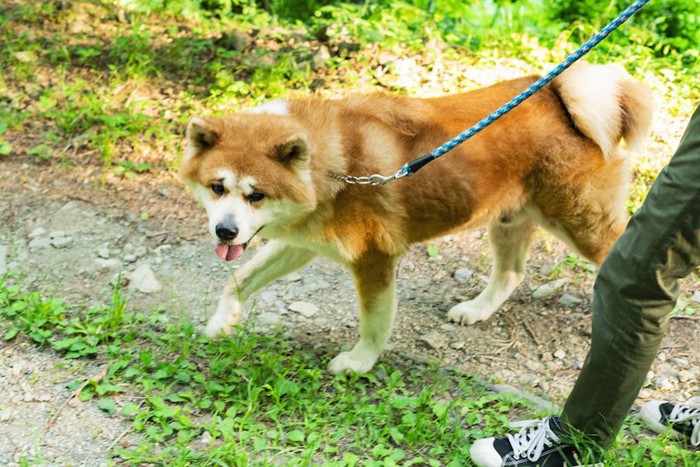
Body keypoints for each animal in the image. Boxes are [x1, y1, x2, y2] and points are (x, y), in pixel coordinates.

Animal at [178, 63, 652, 376]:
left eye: (256, 195)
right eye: (217, 187)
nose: (225, 230)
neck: (332, 168)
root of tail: (563, 98)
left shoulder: (373, 258)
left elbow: (374, 323)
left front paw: (359, 362)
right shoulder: (301, 242)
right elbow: (238, 280)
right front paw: (222, 321)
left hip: (582, 225)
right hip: (509, 219)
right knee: (511, 274)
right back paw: (477, 309)